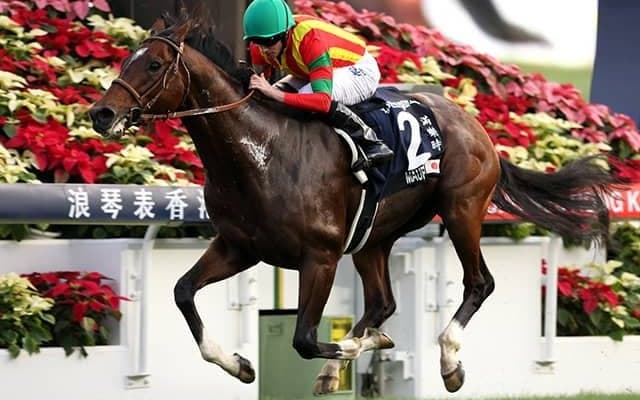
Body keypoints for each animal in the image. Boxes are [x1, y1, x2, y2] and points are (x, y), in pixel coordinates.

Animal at [88, 12, 617, 395]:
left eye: (154, 65)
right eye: (126, 58)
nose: (102, 113)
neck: (260, 152)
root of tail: (473, 124)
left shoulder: (319, 256)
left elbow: (304, 339)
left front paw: (352, 348)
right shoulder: (239, 247)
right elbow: (182, 292)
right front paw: (238, 364)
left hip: (462, 209)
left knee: (478, 282)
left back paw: (447, 359)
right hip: (372, 237)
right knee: (383, 301)